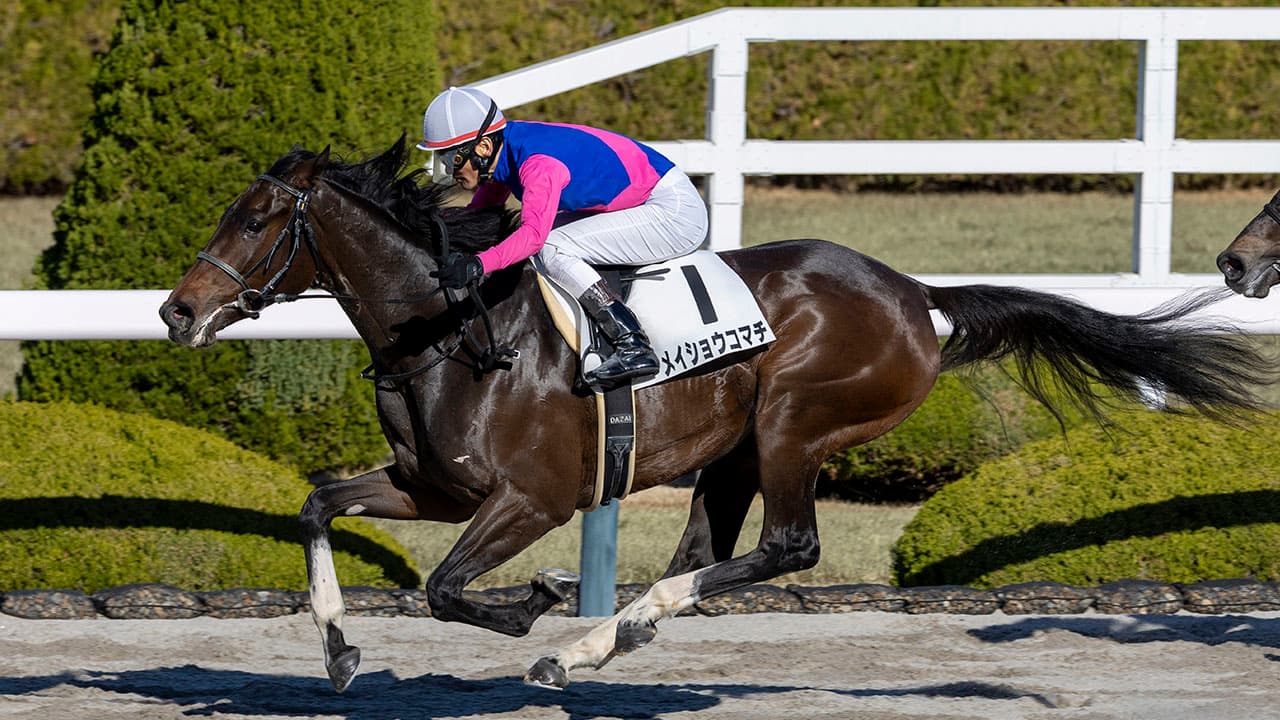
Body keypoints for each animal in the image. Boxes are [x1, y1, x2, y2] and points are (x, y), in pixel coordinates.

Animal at [161, 137, 1272, 693]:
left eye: (255, 220)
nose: (177, 309)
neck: (447, 329)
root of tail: (916, 294)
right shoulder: (430, 487)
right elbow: (316, 505)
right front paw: (340, 650)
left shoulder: (529, 498)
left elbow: (442, 589)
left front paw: (531, 601)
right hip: (733, 448)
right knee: (708, 550)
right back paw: (608, 639)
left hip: (794, 421)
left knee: (787, 548)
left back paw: (583, 641)